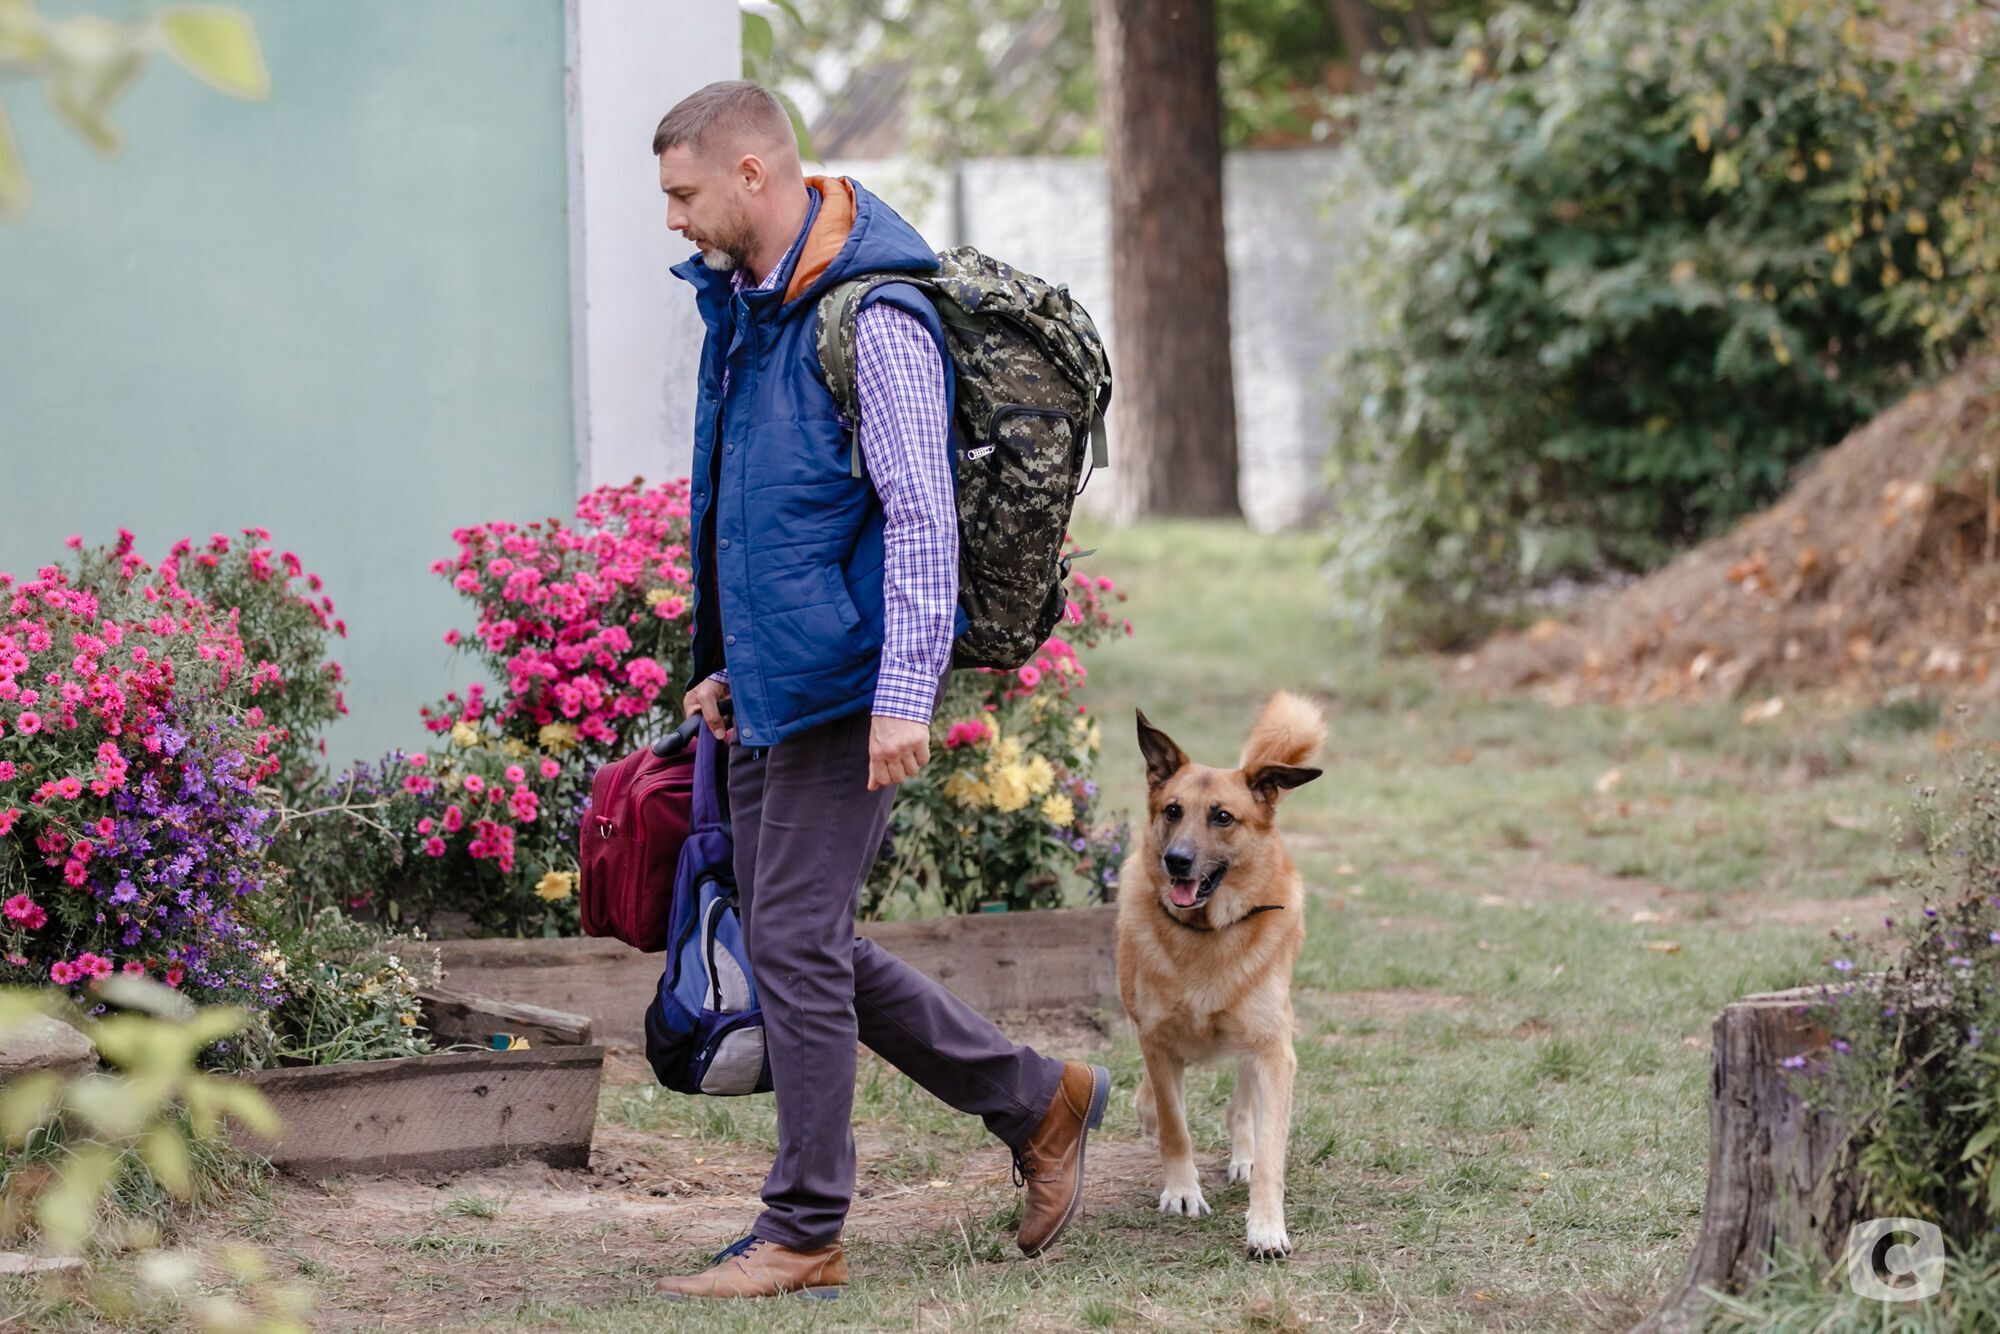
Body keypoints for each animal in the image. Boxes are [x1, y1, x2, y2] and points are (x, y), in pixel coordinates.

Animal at [1112, 696, 1328, 1256]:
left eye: (1223, 817)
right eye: (1172, 810)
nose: (1176, 861)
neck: (1206, 933)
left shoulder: (1274, 1050)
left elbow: (1272, 1150)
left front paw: (1267, 1227)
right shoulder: (1157, 1040)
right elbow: (1175, 1126)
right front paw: (1182, 1192)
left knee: (1243, 1104)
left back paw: (1243, 1155)